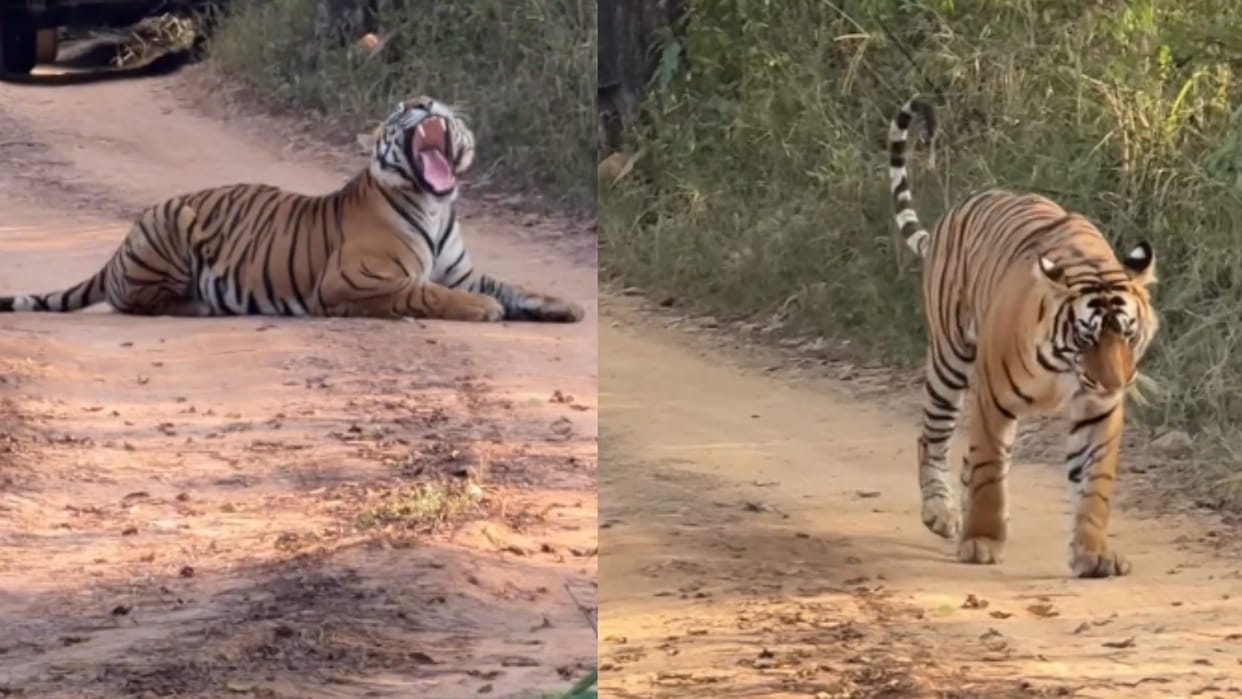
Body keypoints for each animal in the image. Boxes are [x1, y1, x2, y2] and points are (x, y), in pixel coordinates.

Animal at [0, 96, 584, 324]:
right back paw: (197, 304)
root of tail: (122, 243)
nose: (422, 102)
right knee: (136, 300)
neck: (436, 205)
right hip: (170, 229)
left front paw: (564, 304)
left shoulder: (462, 270)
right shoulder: (355, 281)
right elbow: (428, 293)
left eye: (431, 100)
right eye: (401, 109)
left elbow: (513, 286)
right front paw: (485, 310)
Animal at [888, 96, 1158, 578]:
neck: (1066, 370)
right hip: (950, 361)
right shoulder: (994, 400)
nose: (1114, 384)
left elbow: (1094, 486)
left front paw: (1093, 553)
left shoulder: (1098, 412)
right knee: (932, 438)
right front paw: (982, 542)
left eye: (1128, 336)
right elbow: (990, 471)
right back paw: (941, 514)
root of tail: (956, 212)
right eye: (1087, 339)